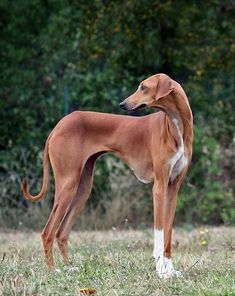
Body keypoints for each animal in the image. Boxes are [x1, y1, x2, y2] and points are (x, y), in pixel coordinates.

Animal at [21, 73, 193, 278]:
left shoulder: (173, 188)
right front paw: (160, 271)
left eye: (143, 87)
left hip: (82, 189)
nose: (122, 104)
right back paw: (53, 271)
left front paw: (170, 270)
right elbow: (159, 233)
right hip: (68, 185)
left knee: (61, 232)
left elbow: (168, 234)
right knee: (47, 232)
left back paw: (69, 267)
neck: (176, 126)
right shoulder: (159, 187)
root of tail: (59, 125)